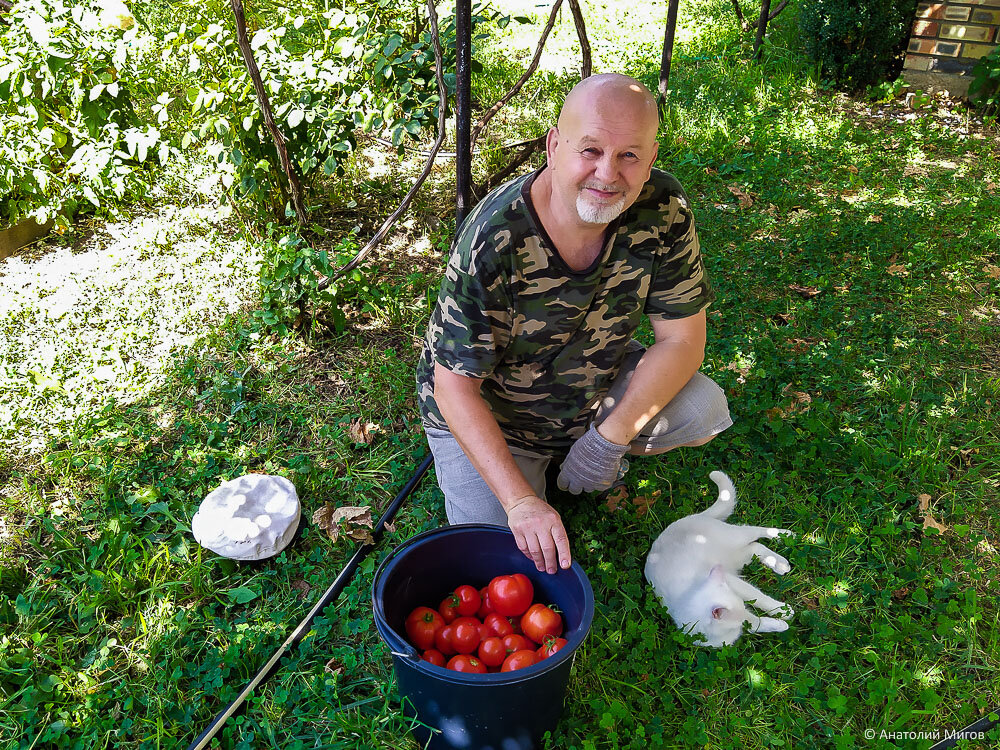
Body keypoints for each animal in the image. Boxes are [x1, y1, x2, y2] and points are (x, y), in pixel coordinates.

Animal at [648, 472, 796, 648]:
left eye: (742, 606)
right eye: (739, 615)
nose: (744, 613)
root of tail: (694, 516)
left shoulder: (735, 583)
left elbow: (760, 598)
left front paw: (782, 610)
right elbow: (756, 624)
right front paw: (779, 623)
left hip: (735, 537)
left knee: (757, 531)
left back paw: (786, 536)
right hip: (736, 558)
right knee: (755, 547)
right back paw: (780, 564)